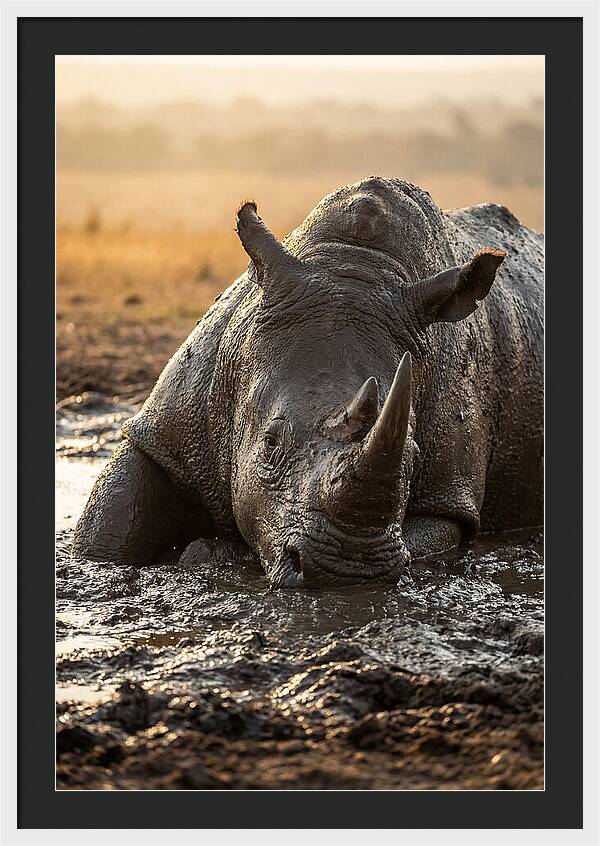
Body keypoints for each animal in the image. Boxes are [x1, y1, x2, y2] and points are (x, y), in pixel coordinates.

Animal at [73, 177, 543, 587]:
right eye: (270, 443)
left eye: (412, 455)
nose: (347, 569)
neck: (355, 264)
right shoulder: (166, 430)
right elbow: (108, 528)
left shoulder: (450, 496)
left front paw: (211, 553)